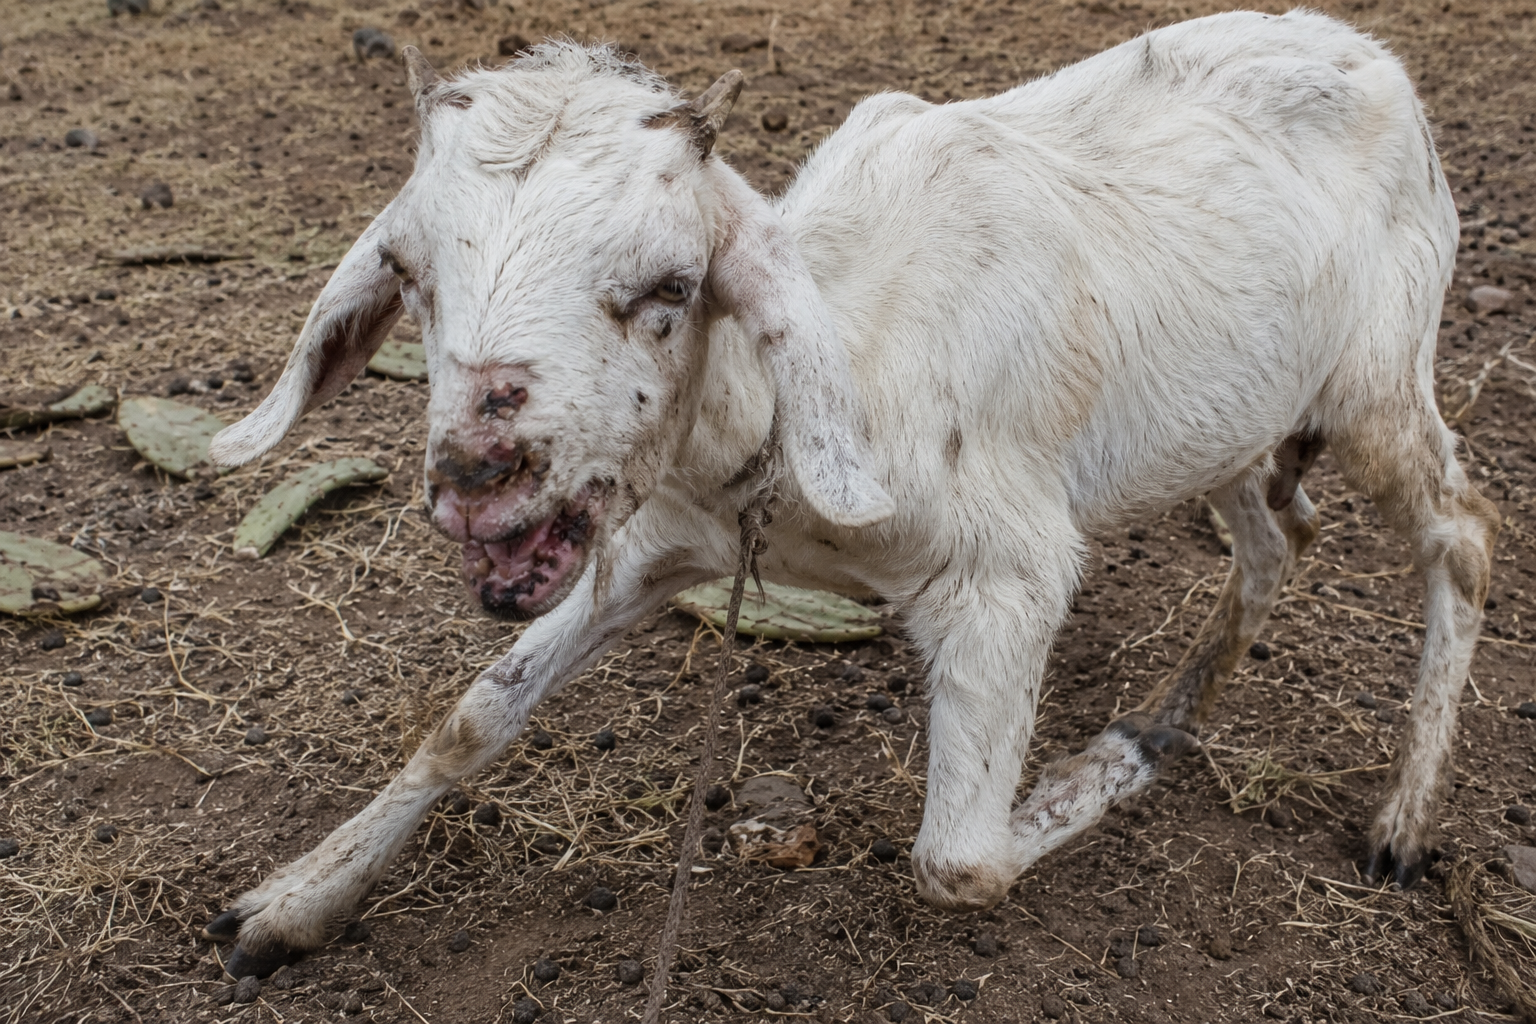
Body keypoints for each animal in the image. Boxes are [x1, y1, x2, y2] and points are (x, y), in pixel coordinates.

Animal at [202, 11, 1499, 978]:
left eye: (672, 284)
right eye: (408, 273)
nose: (478, 477)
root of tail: (1364, 46)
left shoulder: (1012, 574)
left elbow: (960, 862)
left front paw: (1103, 772)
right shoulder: (655, 542)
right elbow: (470, 718)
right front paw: (290, 903)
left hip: (1378, 378)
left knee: (1464, 533)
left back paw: (1395, 815)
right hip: (1227, 415)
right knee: (1281, 533)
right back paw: (1181, 707)